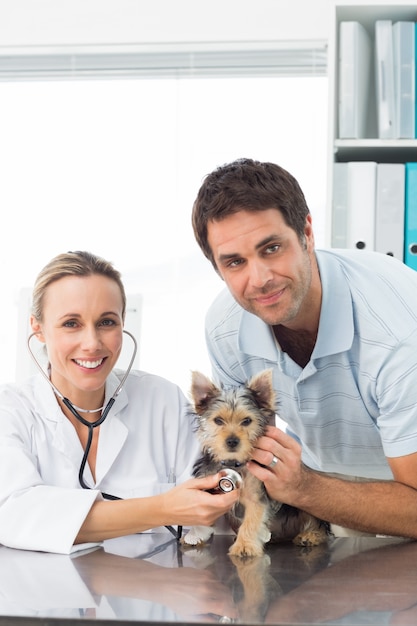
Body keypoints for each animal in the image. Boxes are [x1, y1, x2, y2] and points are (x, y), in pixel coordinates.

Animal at [182, 370, 328, 556]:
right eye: (218, 421)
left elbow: (251, 519)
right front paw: (195, 535)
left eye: (246, 421)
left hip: (305, 505)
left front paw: (245, 545)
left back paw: (311, 535)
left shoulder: (256, 495)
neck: (234, 463)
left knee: (318, 523)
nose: (232, 441)